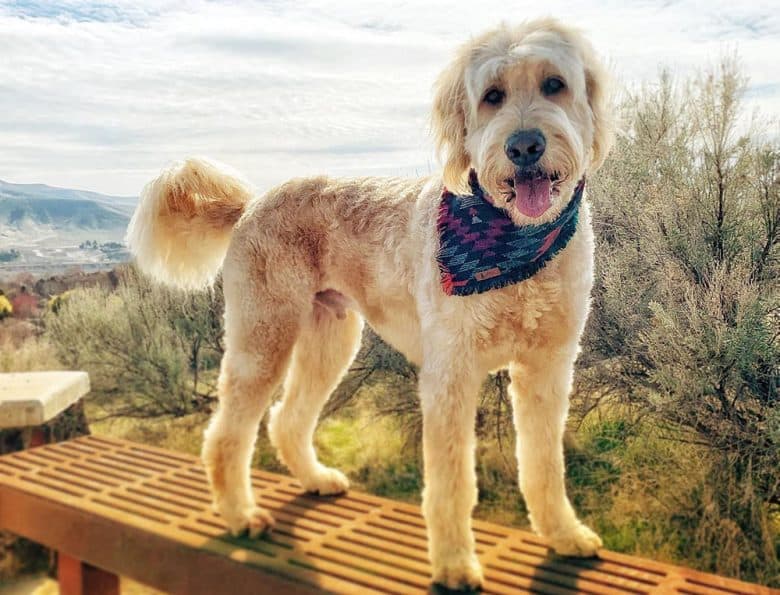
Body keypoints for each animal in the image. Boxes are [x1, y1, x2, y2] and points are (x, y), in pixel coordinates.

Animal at [128, 18, 612, 592]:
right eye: (492, 95)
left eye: (554, 84)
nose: (524, 147)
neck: (516, 244)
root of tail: (253, 203)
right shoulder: (451, 373)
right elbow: (451, 482)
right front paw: (453, 562)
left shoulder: (548, 368)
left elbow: (543, 464)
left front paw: (563, 534)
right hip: (264, 336)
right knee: (226, 435)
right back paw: (239, 515)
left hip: (329, 338)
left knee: (286, 420)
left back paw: (314, 480)